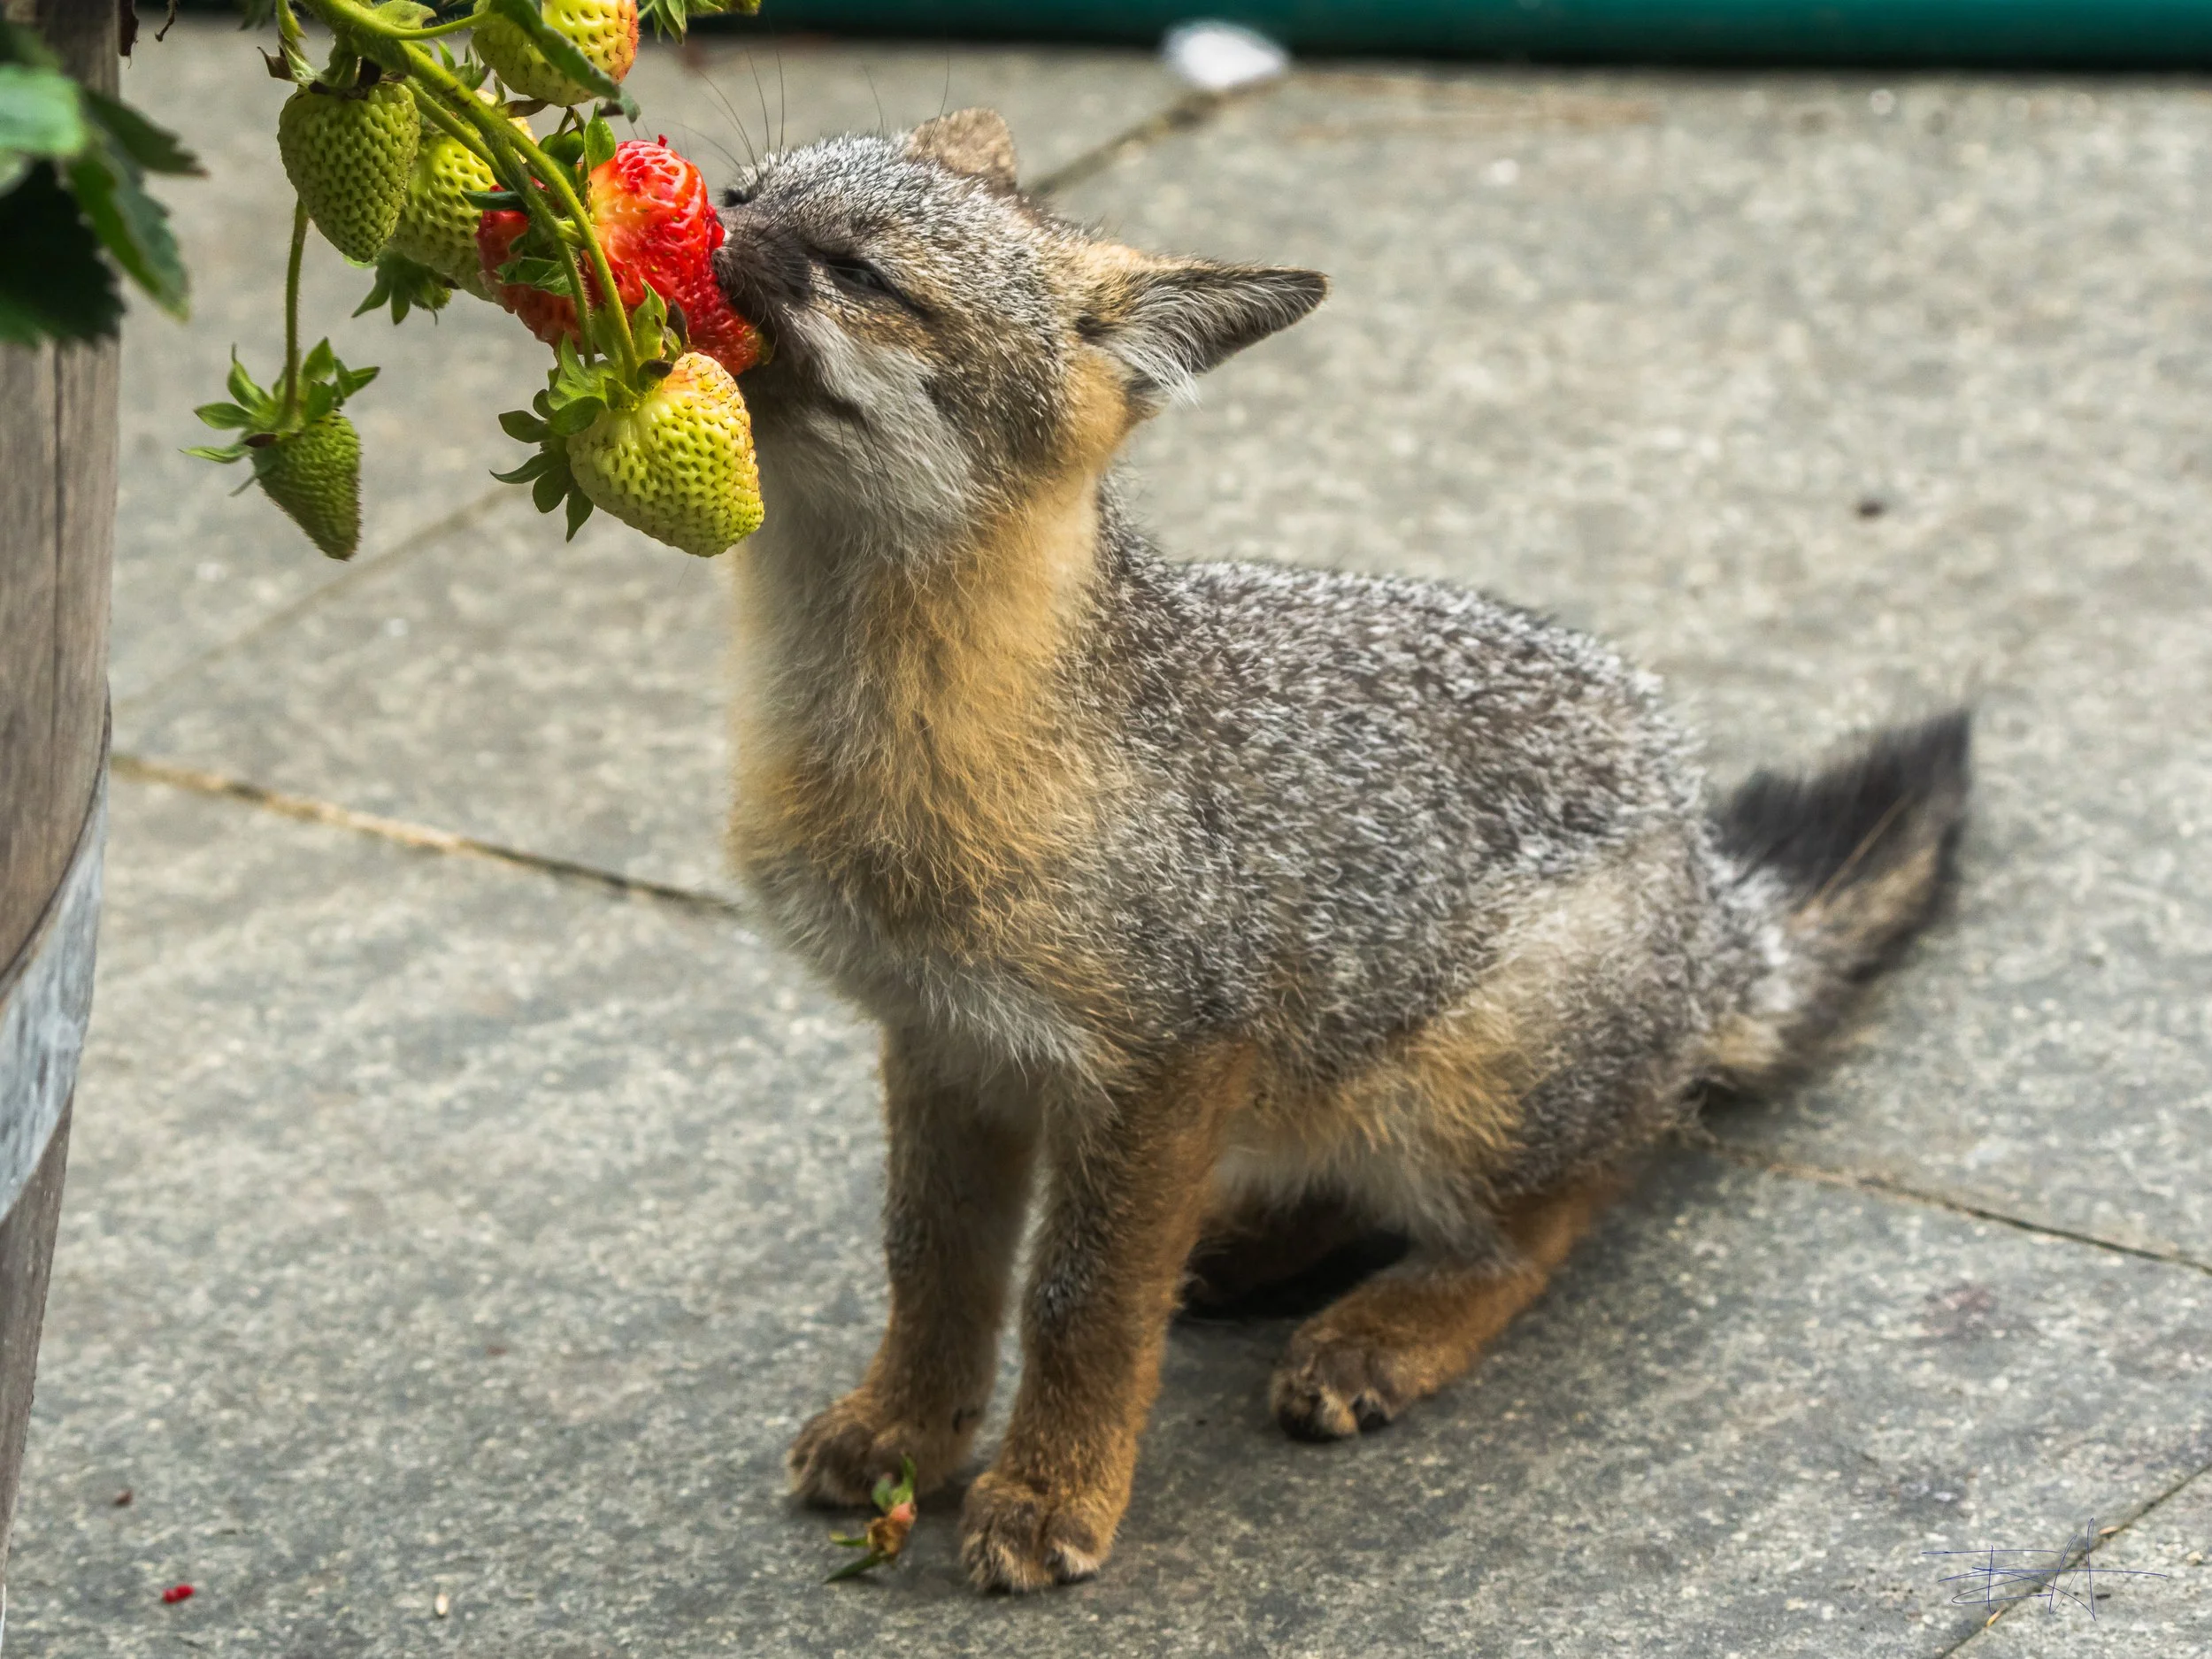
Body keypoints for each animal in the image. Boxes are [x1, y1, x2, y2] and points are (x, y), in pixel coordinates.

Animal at [709, 107, 1970, 1593]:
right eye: (750, 194)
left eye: (862, 274)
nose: (703, 226)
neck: (899, 724)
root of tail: (1715, 892)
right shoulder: (946, 1035)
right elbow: (936, 1268)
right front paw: (906, 1429)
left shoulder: (1164, 1053)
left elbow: (1081, 1301)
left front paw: (1050, 1488)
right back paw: (1251, 1251)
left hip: (1460, 1082)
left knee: (1572, 1197)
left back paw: (1388, 1325)